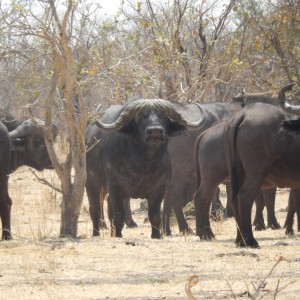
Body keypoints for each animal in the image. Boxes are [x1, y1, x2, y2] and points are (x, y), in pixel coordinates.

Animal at [85, 99, 203, 239]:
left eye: (163, 117)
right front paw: (118, 234)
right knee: (95, 209)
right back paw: (96, 233)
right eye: (141, 117)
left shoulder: (159, 188)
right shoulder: (115, 186)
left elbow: (154, 214)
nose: (155, 131)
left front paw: (156, 235)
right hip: (93, 183)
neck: (144, 164)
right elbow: (118, 214)